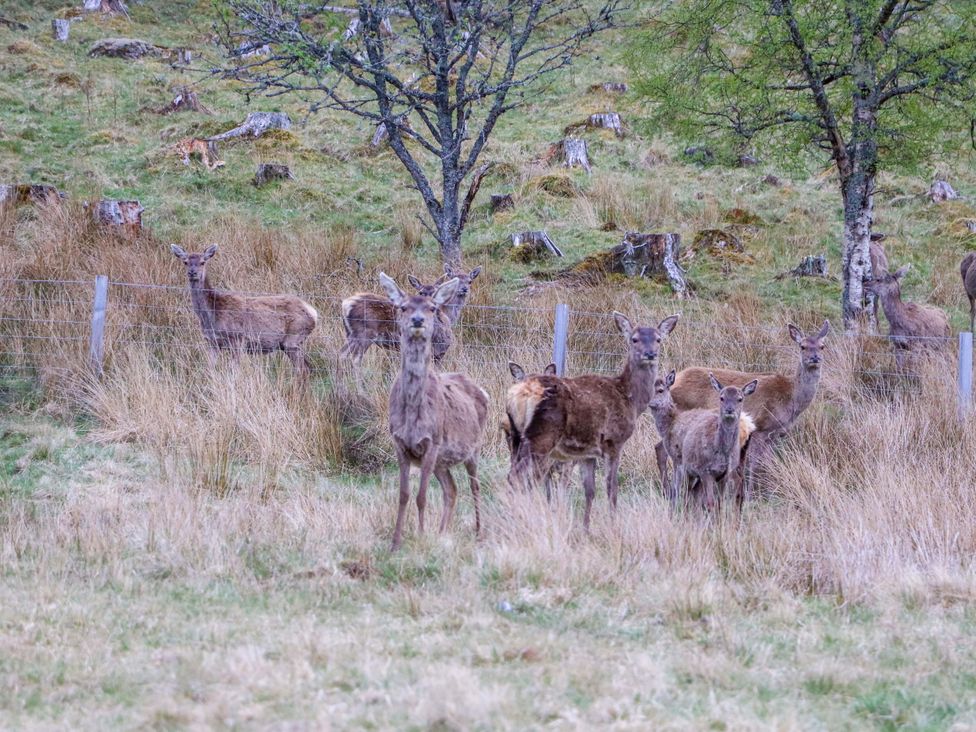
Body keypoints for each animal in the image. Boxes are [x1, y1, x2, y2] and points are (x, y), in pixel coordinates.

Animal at [170, 244, 318, 376]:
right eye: (185, 262)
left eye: (202, 262)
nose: (192, 272)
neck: (213, 313)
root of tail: (313, 313)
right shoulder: (212, 342)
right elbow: (209, 369)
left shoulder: (238, 338)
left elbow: (234, 371)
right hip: (291, 343)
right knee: (307, 367)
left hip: (293, 338)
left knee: (303, 369)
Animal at [340, 265, 481, 364]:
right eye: (421, 292)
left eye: (470, 281)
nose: (464, 289)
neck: (448, 315)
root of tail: (346, 304)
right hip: (364, 334)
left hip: (351, 334)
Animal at [379, 272, 489, 551]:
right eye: (403, 307)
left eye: (432, 308)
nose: (418, 320)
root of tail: (482, 391)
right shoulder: (399, 443)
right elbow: (404, 494)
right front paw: (396, 542)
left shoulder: (432, 441)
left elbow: (421, 496)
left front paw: (419, 537)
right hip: (443, 460)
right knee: (451, 489)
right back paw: (442, 533)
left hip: (474, 448)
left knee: (475, 486)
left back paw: (479, 532)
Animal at [506, 312, 680, 529]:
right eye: (634, 339)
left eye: (658, 339)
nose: (650, 354)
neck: (630, 400)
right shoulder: (614, 441)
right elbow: (611, 488)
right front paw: (613, 526)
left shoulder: (586, 451)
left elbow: (590, 491)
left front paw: (586, 528)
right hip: (542, 436)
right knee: (520, 477)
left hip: (515, 438)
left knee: (514, 476)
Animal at [669, 374, 758, 512]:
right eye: (721, 397)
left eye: (740, 399)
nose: (729, 410)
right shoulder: (705, 471)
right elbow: (710, 502)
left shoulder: (725, 474)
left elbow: (720, 503)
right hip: (684, 467)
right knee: (684, 493)